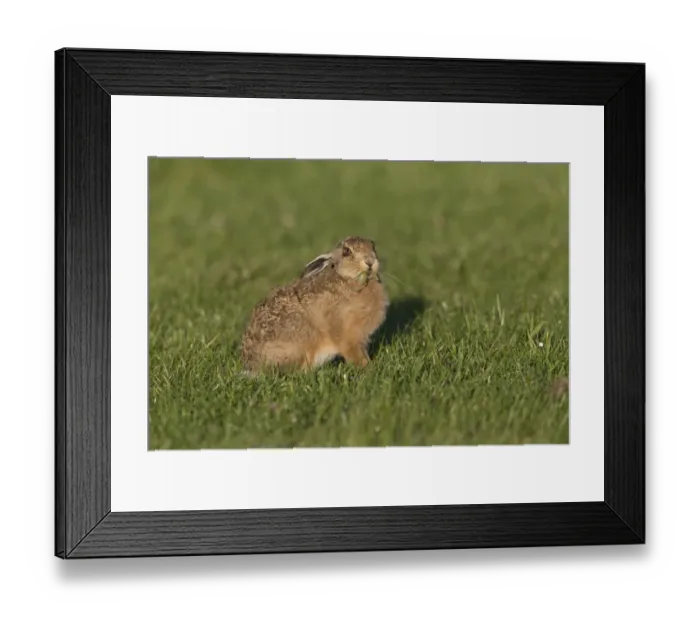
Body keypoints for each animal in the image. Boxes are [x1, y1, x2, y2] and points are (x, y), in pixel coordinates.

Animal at [240, 236, 389, 374]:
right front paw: (367, 368)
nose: (370, 261)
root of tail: (252, 364)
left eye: (373, 246)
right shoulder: (345, 334)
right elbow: (352, 353)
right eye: (346, 251)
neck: (349, 279)